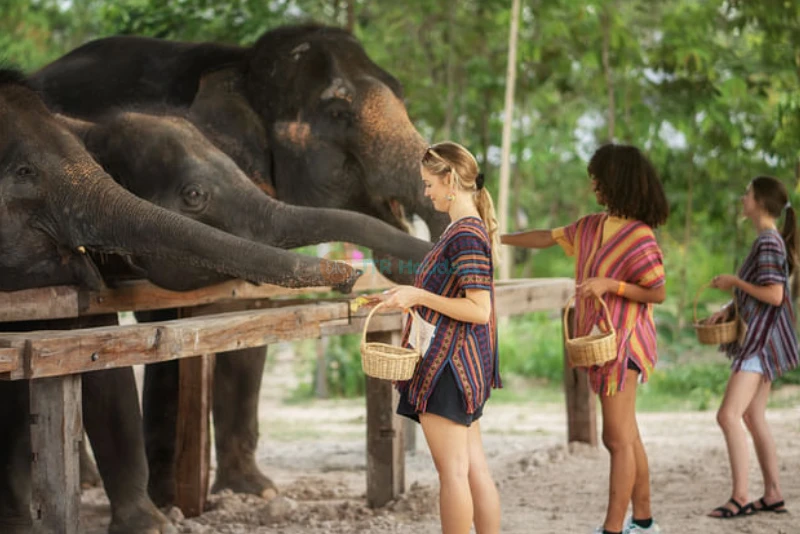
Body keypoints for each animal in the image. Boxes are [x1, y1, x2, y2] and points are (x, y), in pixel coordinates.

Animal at [31, 23, 450, 504]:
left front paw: (257, 491)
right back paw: (86, 482)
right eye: (339, 112)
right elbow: (167, 325)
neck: (243, 61)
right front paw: (170, 503)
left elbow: (247, 327)